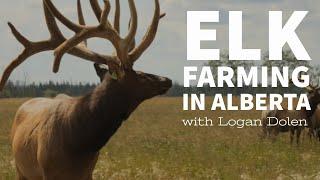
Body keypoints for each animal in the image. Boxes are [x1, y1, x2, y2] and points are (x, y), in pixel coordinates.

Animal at [0, 0, 172, 179]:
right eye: (139, 74)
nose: (167, 80)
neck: (79, 144)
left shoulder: (88, 172)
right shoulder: (48, 172)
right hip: (20, 169)